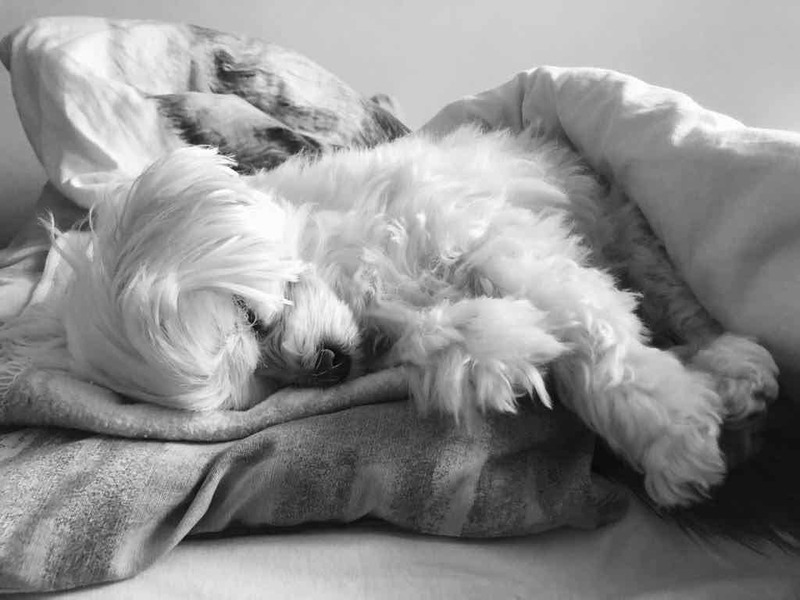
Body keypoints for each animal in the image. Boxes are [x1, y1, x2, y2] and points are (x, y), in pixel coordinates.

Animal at [59, 126, 779, 508]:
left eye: (252, 320)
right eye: (266, 385)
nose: (326, 367)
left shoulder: (494, 239)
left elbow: (598, 338)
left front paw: (671, 438)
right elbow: (454, 339)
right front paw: (493, 350)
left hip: (633, 234)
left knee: (672, 299)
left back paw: (732, 367)